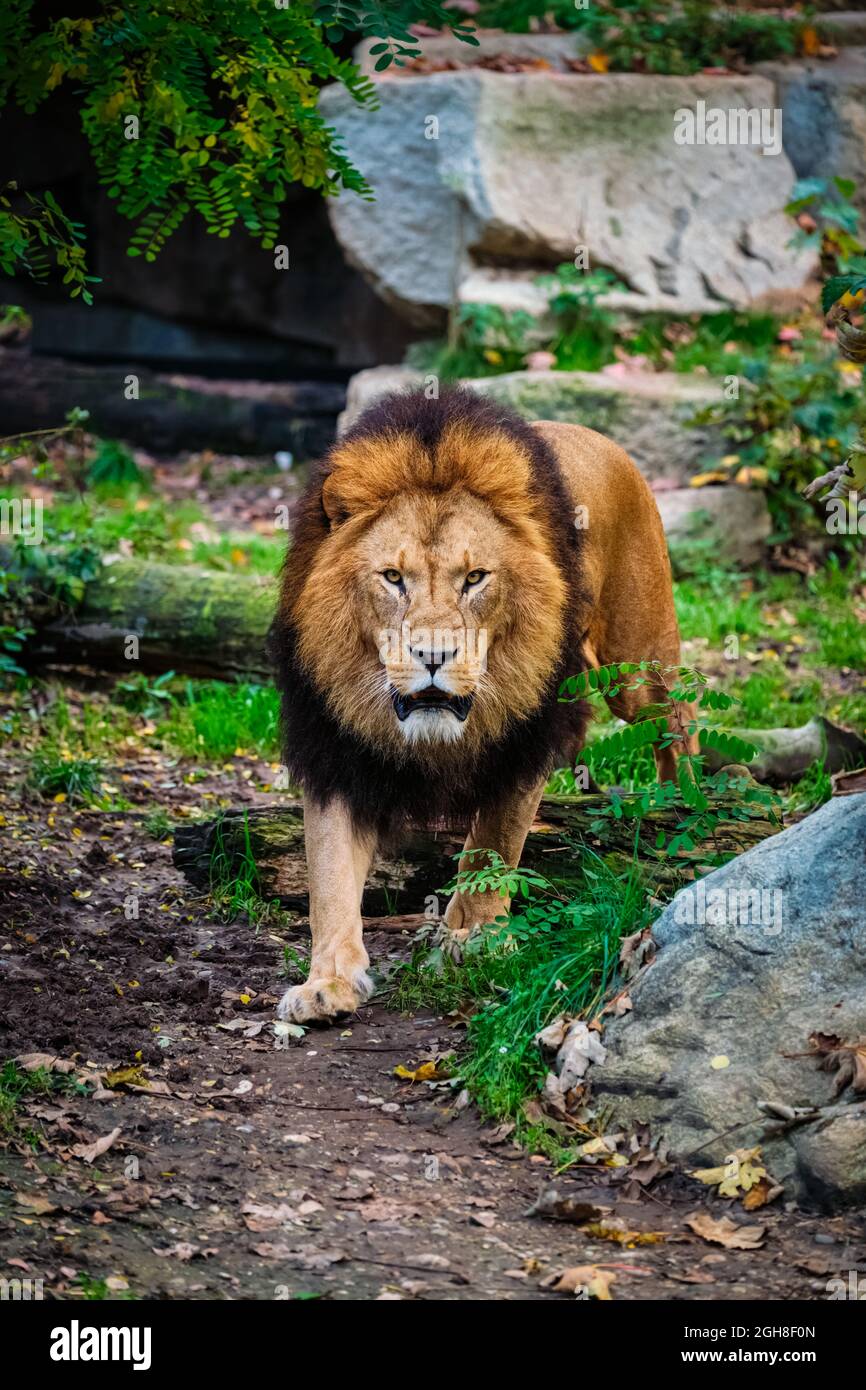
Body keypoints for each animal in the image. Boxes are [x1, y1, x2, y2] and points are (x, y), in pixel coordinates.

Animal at [271, 386, 697, 1028]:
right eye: (392, 577)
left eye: (475, 578)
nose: (433, 656)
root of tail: (599, 437)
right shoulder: (336, 753)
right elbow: (329, 875)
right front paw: (327, 983)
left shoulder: (525, 738)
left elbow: (492, 845)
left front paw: (471, 939)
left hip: (637, 665)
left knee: (680, 720)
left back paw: (693, 803)